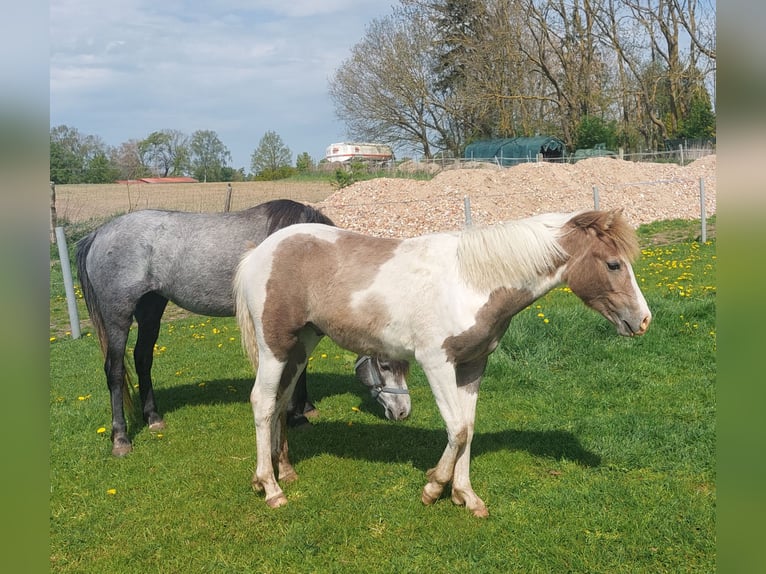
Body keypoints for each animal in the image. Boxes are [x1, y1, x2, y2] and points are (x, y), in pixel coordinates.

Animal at [75, 199, 411, 457]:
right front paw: (297, 415)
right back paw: (121, 438)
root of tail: (97, 234)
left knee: (143, 358)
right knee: (115, 371)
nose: (403, 412)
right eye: (385, 364)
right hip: (118, 316)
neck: (309, 254)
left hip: (151, 309)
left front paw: (305, 408)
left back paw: (153, 417)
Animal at [234, 209, 652, 517]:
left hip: (302, 344)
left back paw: (285, 471)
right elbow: (458, 429)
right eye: (613, 264)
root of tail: (259, 252)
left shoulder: (472, 365)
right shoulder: (436, 363)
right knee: (262, 402)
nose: (644, 320)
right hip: (275, 346)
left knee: (281, 401)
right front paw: (434, 487)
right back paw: (270, 488)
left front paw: (466, 496)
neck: (473, 281)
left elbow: (468, 427)